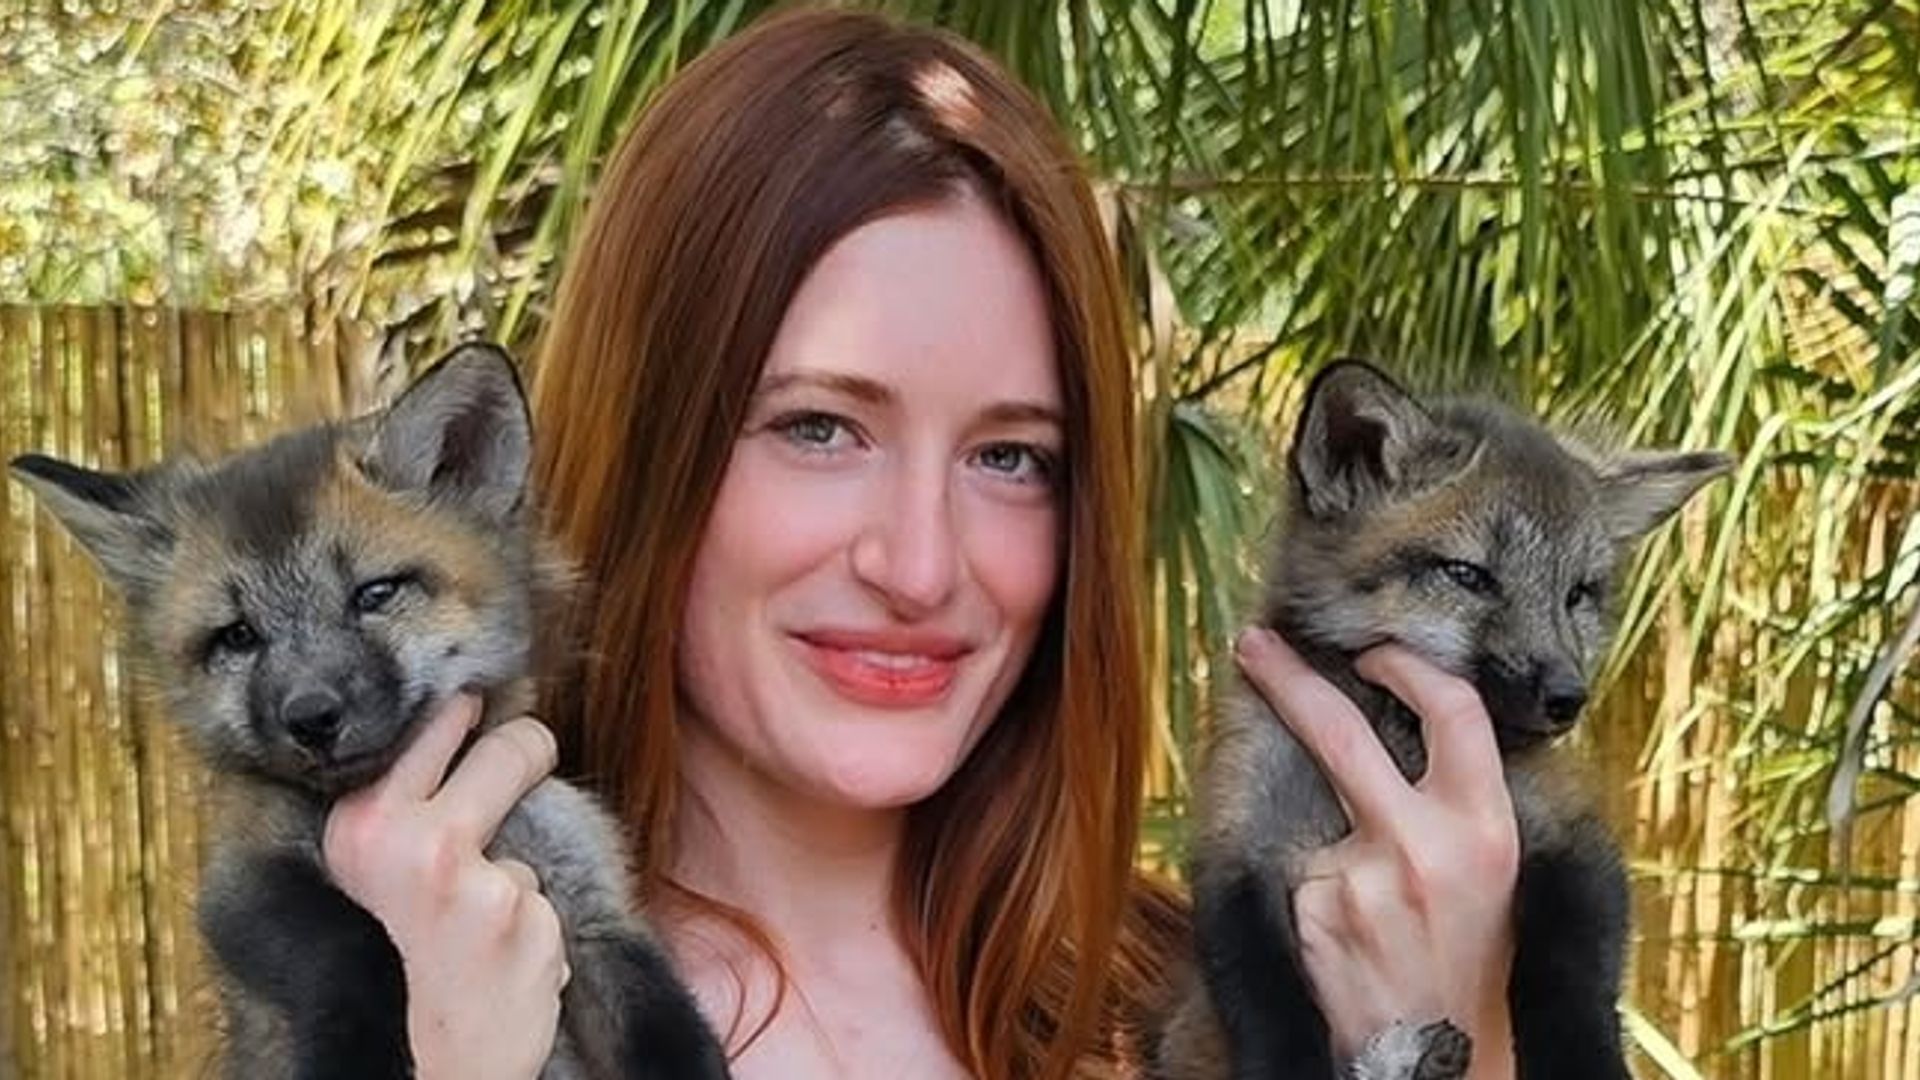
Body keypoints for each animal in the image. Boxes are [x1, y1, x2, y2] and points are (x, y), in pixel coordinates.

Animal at [8, 344, 731, 1080]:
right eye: (238, 636)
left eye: (375, 594)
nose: (311, 716)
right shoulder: (246, 875)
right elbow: (349, 947)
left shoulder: (591, 897)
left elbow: (669, 1022)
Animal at [1151, 360, 1732, 1080]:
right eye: (1467, 575)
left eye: (1578, 593)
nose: (1568, 696)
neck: (1396, 736)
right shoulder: (1238, 845)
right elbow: (1269, 1005)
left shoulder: (1564, 831)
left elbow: (1568, 976)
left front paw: (1581, 1058)